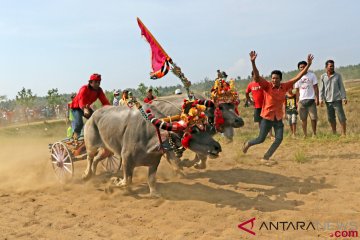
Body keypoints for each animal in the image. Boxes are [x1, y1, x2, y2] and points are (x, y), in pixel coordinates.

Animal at [82, 104, 221, 196]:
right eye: (193, 130)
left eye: (203, 127)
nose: (217, 147)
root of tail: (92, 115)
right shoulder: (126, 159)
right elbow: (126, 181)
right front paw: (114, 182)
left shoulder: (154, 161)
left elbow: (151, 180)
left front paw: (154, 193)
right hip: (91, 144)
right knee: (90, 157)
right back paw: (86, 175)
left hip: (107, 149)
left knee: (97, 158)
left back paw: (93, 175)